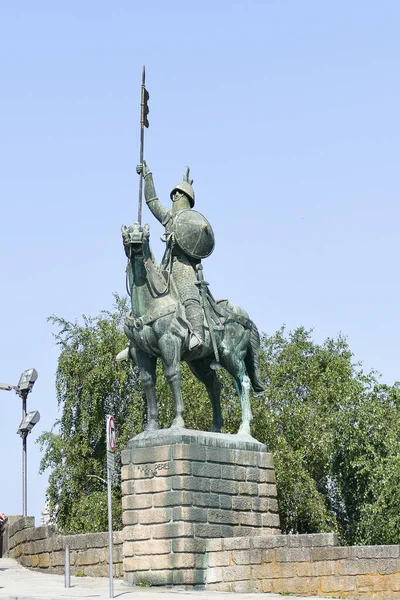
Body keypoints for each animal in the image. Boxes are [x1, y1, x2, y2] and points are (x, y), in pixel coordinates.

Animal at [119, 221, 266, 436]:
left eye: (145, 234)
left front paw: (178, 422)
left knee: (243, 382)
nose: (136, 242)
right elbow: (148, 381)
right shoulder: (142, 352)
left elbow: (172, 375)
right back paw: (215, 428)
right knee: (214, 386)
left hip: (232, 355)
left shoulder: (169, 343)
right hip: (200, 362)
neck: (152, 302)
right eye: (126, 234)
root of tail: (244, 316)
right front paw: (151, 426)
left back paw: (244, 429)